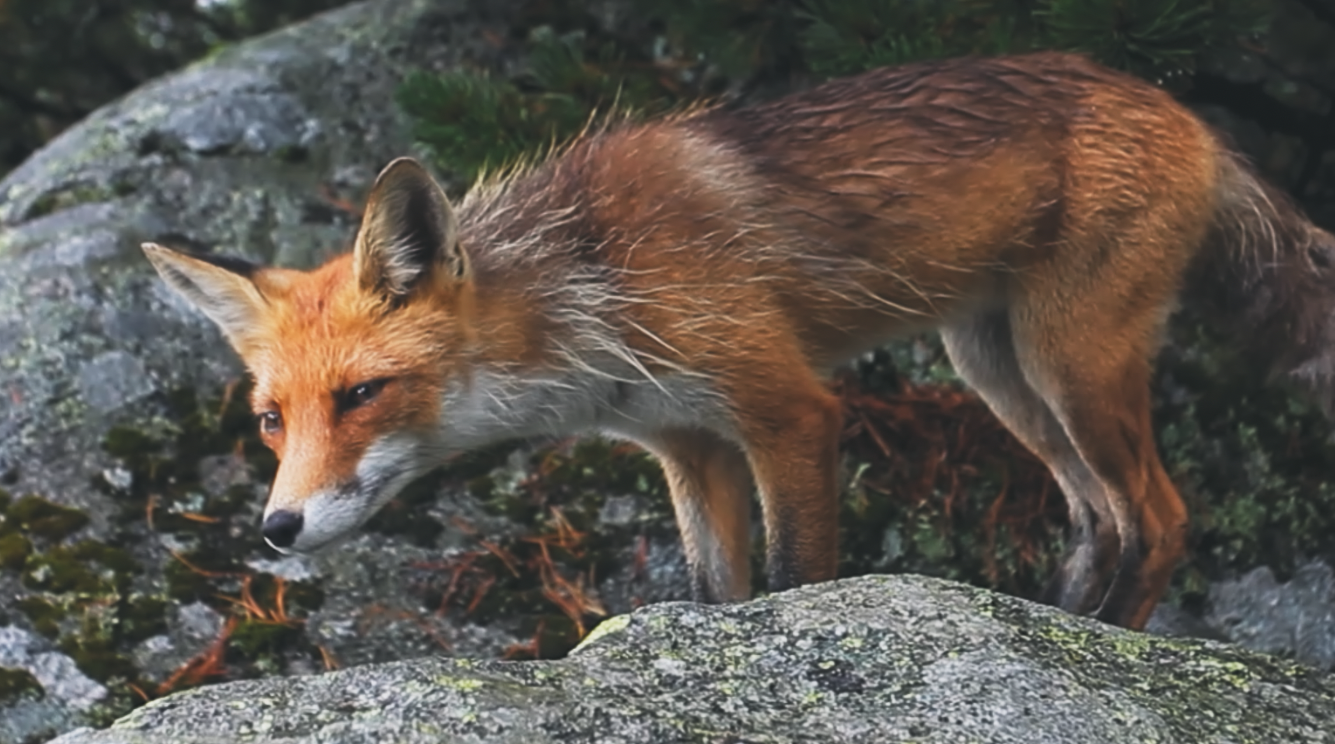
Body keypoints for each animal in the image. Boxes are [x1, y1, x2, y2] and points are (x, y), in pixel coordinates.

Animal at [142, 51, 1335, 631]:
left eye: (361, 396)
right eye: (269, 421)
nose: (277, 529)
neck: (591, 293)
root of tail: (1187, 114)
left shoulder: (788, 411)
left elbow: (801, 577)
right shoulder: (687, 443)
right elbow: (721, 594)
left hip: (1070, 364)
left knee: (1163, 520)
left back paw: (1123, 639)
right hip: (999, 372)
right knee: (1101, 520)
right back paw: (1064, 625)